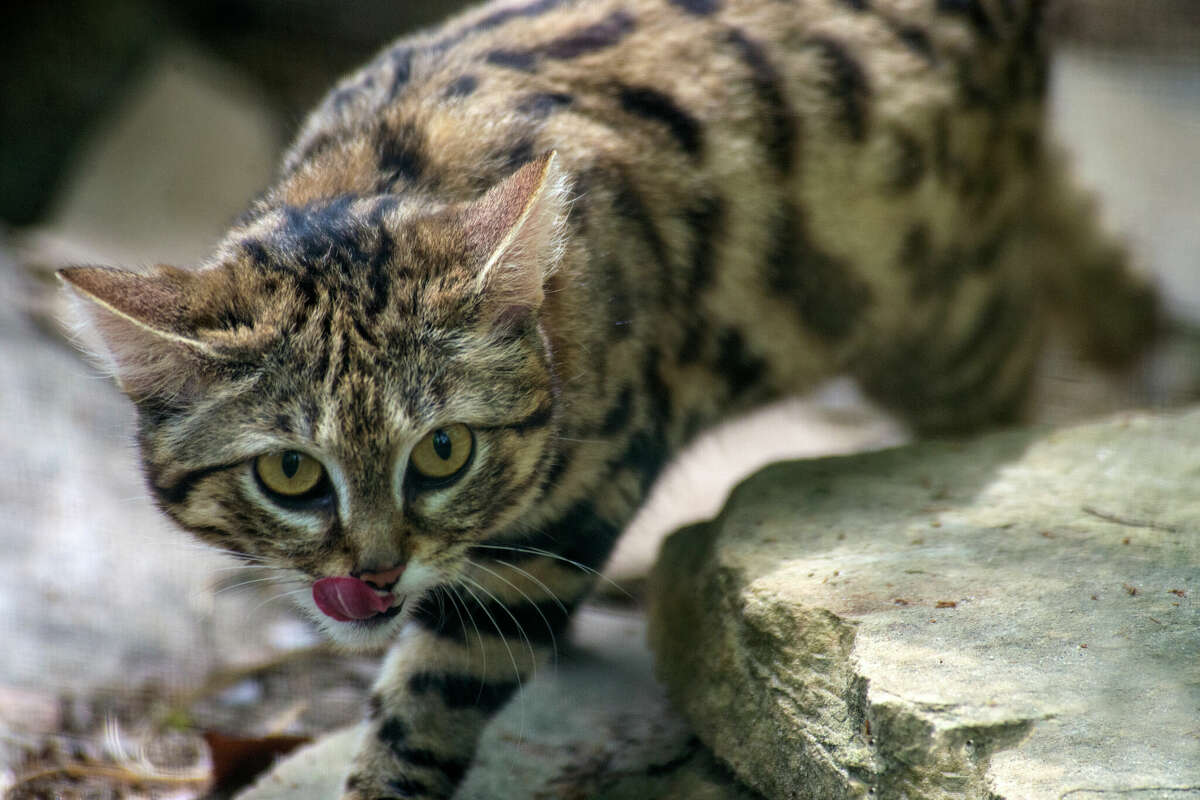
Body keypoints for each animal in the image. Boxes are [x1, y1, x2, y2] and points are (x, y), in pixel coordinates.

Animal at [58, 0, 1161, 796]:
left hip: (948, 316)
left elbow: (435, 691)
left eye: (444, 451)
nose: (375, 572)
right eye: (291, 471)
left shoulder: (575, 505)